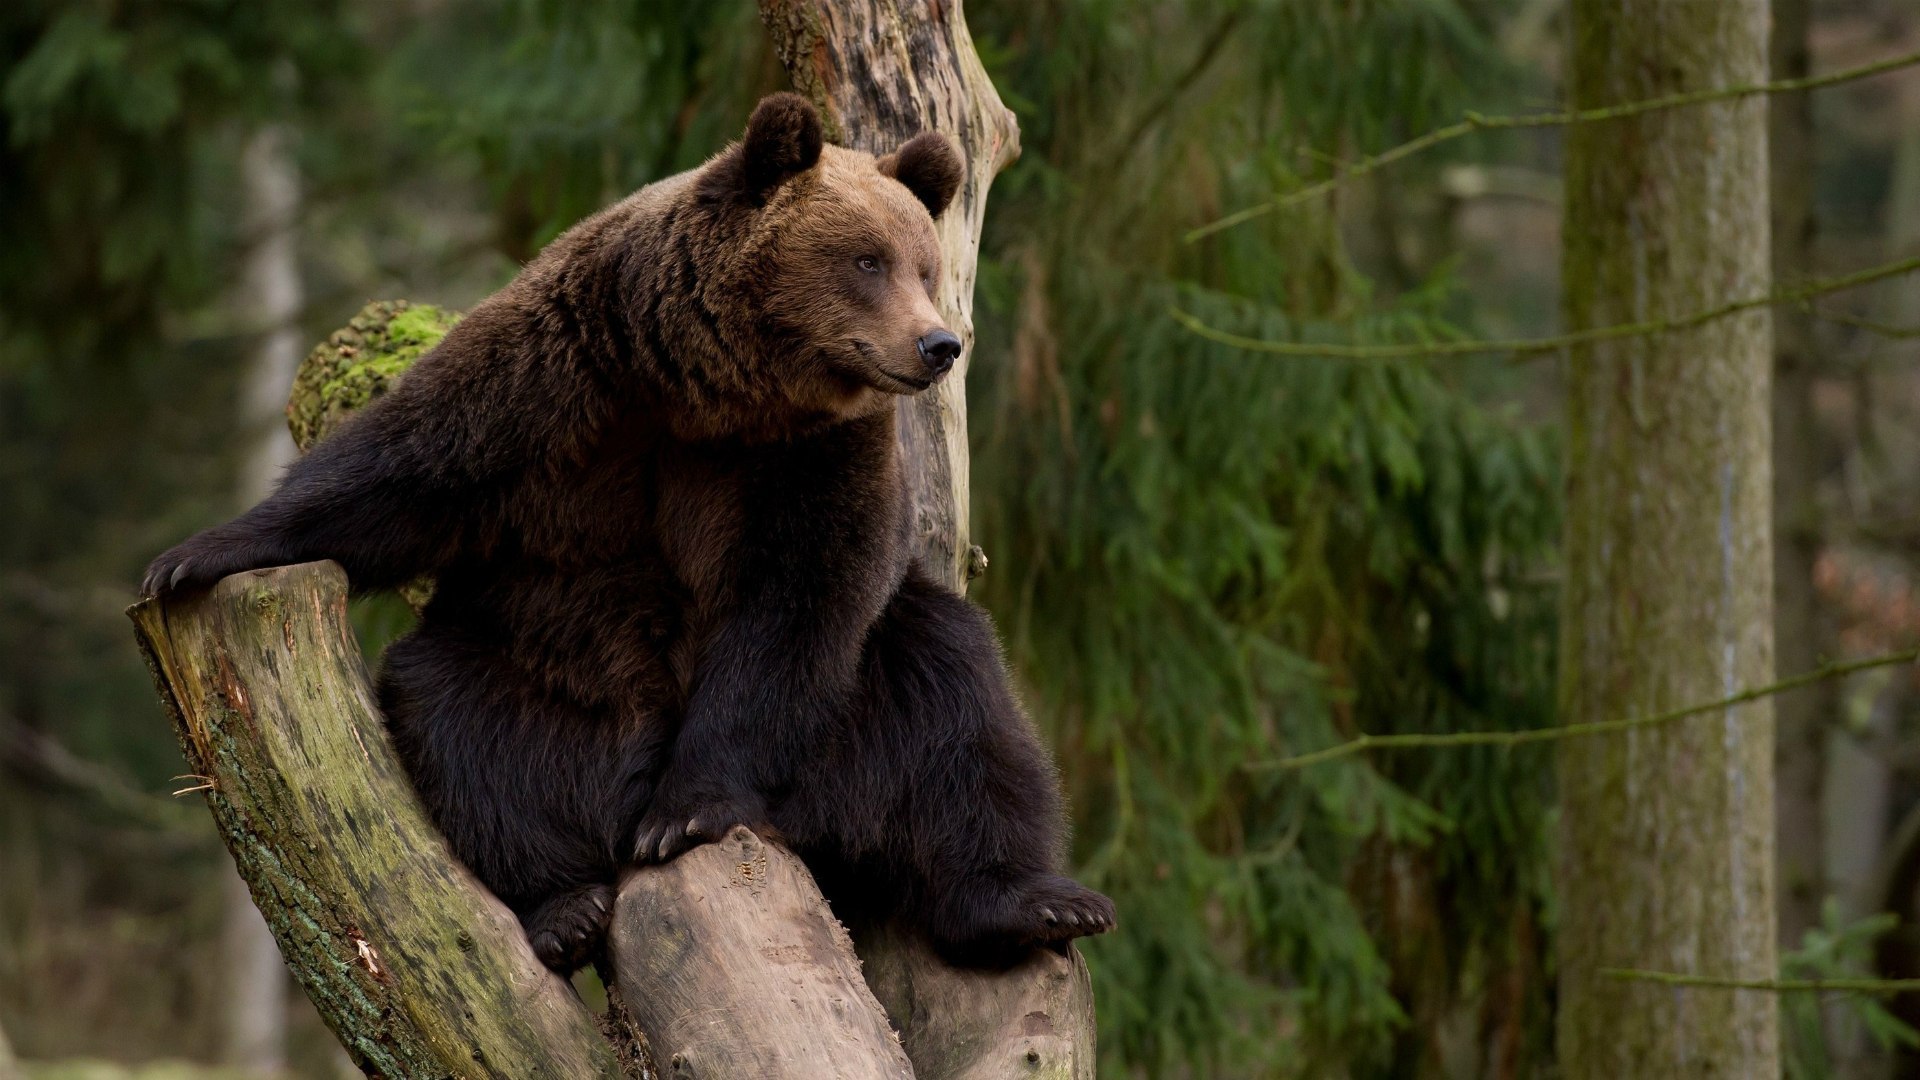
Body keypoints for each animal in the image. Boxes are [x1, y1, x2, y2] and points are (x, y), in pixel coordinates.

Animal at [145, 92, 1113, 968]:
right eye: (867, 259)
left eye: (924, 266)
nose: (938, 345)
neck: (709, 389)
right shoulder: (562, 374)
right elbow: (401, 474)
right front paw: (193, 556)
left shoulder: (815, 457)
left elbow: (799, 600)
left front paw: (686, 807)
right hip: (540, 671)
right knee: (457, 722)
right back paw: (563, 905)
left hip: (852, 716)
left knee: (961, 711)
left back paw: (1034, 902)